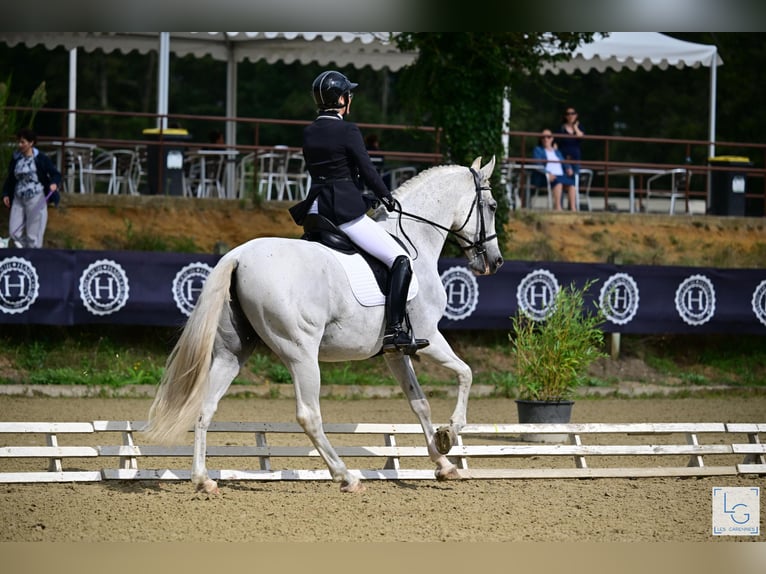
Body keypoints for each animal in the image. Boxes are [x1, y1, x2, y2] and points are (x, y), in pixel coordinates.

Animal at [144, 156, 504, 496]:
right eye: (492, 205)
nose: (495, 261)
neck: (415, 240)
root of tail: (239, 256)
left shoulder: (394, 351)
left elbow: (420, 403)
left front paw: (443, 463)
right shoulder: (430, 335)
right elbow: (466, 373)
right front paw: (450, 434)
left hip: (232, 352)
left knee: (205, 408)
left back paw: (203, 480)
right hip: (301, 352)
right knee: (309, 414)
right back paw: (347, 476)